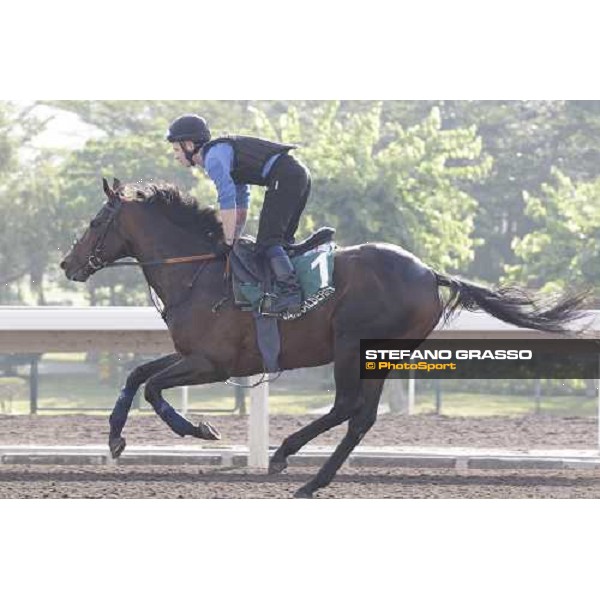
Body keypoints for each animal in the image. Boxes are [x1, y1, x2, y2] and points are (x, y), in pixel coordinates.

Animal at [61, 180, 584, 500]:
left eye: (94, 223)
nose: (67, 264)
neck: (199, 273)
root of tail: (429, 272)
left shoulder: (215, 363)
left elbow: (153, 387)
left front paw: (201, 430)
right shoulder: (191, 355)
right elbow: (136, 374)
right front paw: (114, 437)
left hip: (351, 343)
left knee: (347, 407)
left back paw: (285, 456)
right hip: (383, 353)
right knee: (361, 417)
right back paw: (313, 479)